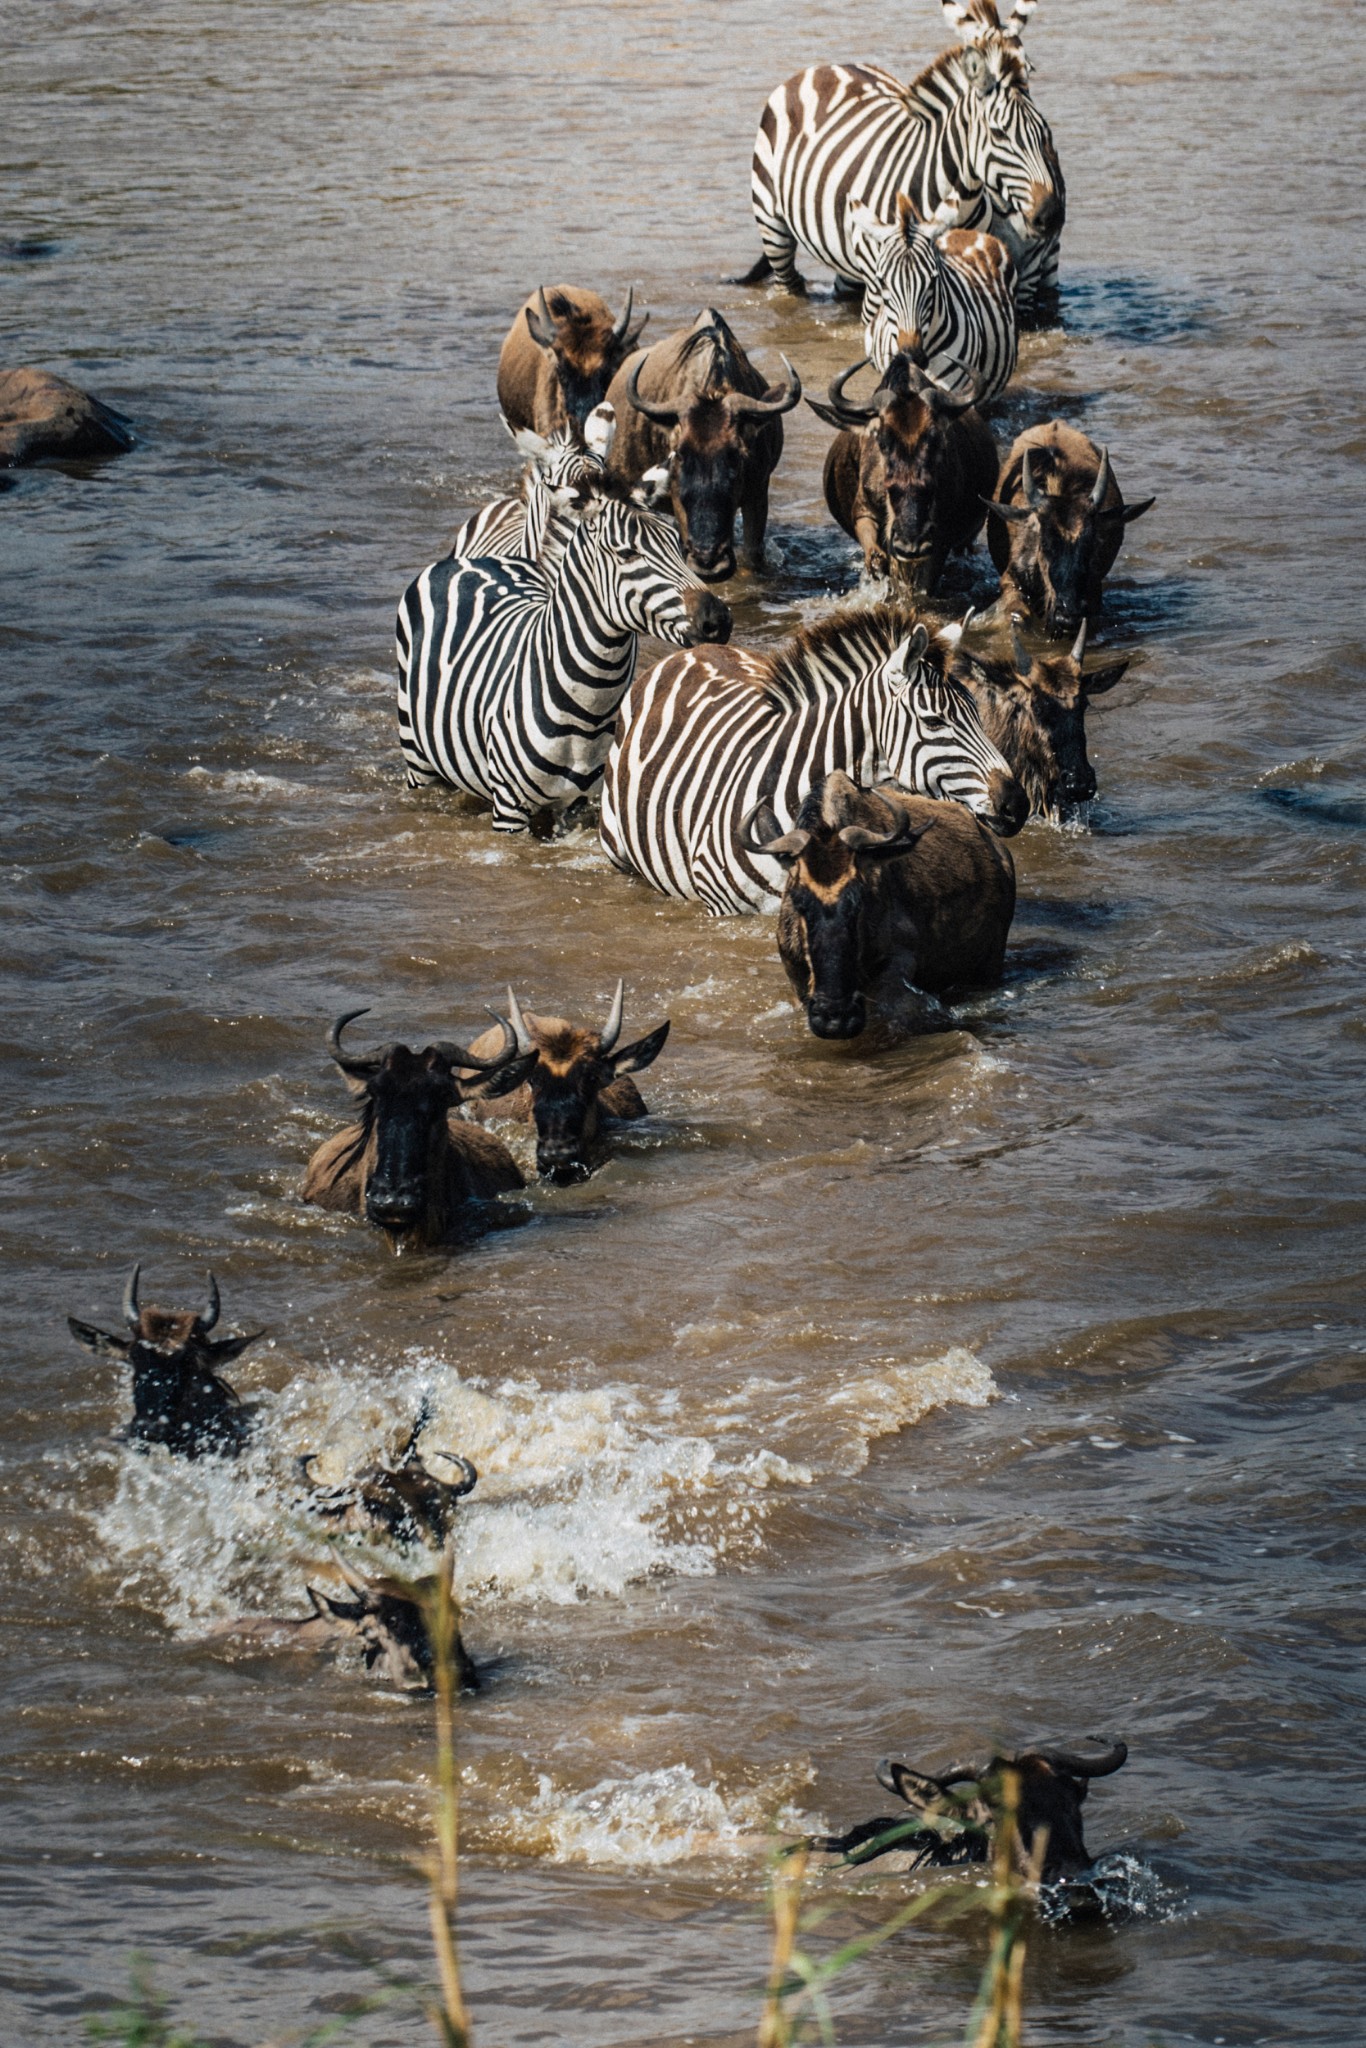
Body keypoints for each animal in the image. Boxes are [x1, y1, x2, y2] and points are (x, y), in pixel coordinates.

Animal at [395, 487, 733, 831]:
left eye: (680, 547)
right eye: (627, 554)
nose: (718, 620)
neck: (590, 710)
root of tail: (471, 560)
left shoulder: (581, 805)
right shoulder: (509, 807)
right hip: (417, 756)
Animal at [741, 1, 1064, 319]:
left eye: (1044, 130)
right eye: (999, 133)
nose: (1050, 214)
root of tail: (820, 69)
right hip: (774, 225)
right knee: (788, 284)